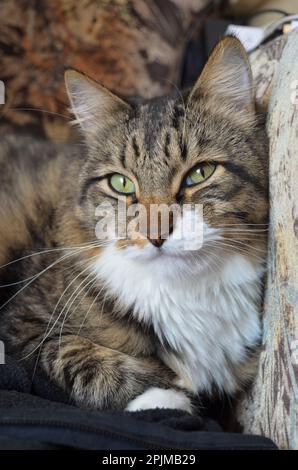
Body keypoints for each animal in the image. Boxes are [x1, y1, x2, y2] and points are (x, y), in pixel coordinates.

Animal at [0, 37, 268, 412]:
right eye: (121, 183)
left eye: (200, 173)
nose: (155, 234)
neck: (183, 295)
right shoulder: (23, 322)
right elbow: (82, 358)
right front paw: (165, 397)